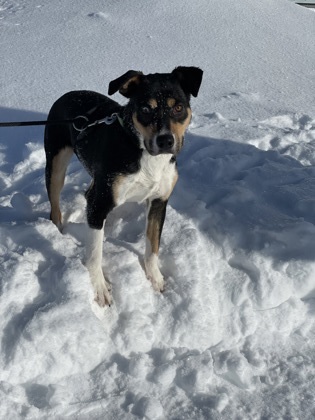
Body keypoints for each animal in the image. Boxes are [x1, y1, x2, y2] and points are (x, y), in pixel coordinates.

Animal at [44, 67, 204, 306]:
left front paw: (155, 278)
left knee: (87, 192)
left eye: (178, 108)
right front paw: (100, 289)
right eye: (146, 109)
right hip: (56, 166)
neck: (143, 152)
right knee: (55, 207)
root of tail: (67, 94)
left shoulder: (159, 201)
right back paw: (58, 231)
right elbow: (95, 254)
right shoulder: (100, 202)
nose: (166, 141)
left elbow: (152, 246)